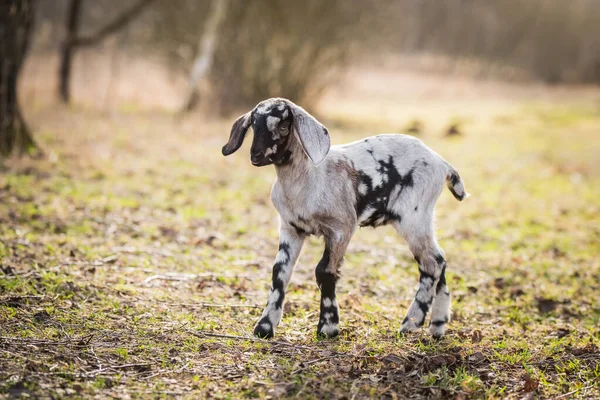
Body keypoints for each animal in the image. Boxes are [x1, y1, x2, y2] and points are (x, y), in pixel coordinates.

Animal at [221, 97, 468, 338]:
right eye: (253, 126)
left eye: (283, 126)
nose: (256, 156)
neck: (307, 180)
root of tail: (442, 163)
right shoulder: (291, 229)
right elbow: (279, 273)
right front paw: (264, 326)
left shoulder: (341, 228)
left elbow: (324, 271)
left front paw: (328, 327)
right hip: (423, 220)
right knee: (440, 260)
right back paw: (437, 326)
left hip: (413, 217)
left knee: (431, 264)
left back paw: (411, 323)